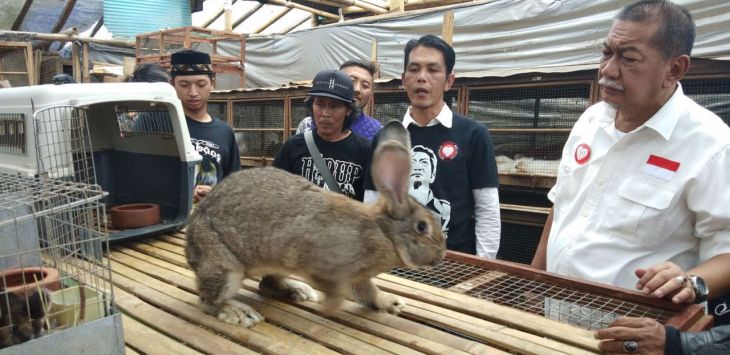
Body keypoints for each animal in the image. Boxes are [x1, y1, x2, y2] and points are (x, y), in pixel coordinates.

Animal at [185, 121, 444, 326]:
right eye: (422, 227)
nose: (440, 255)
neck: (383, 232)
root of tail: (190, 250)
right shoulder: (329, 268)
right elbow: (339, 291)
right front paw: (331, 307)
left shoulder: (357, 275)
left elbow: (369, 293)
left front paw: (392, 303)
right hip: (224, 267)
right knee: (209, 300)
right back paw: (240, 313)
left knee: (267, 283)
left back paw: (300, 291)